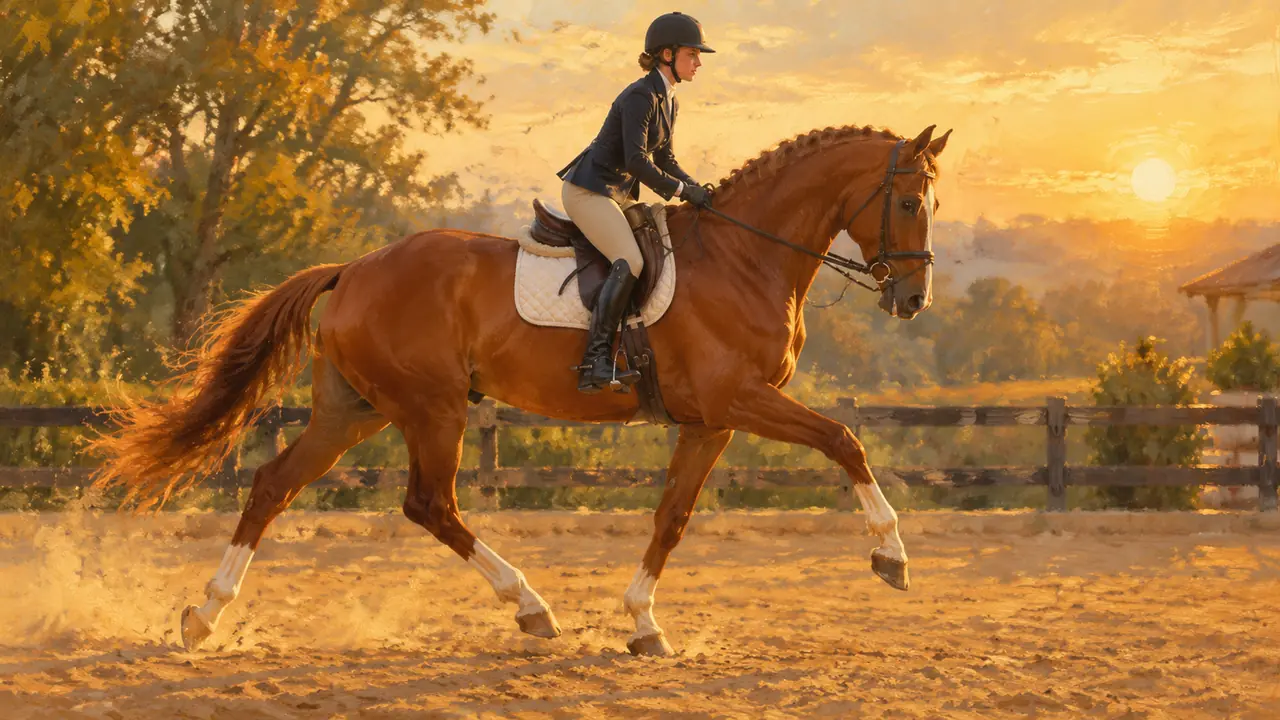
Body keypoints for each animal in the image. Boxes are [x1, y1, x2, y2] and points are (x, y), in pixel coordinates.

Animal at [91, 123, 951, 656]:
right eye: (910, 201)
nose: (913, 301)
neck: (745, 258)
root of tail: (355, 267)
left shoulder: (709, 421)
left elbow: (671, 519)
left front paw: (643, 626)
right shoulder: (738, 401)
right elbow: (845, 439)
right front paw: (893, 556)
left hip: (352, 409)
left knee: (274, 483)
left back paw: (203, 616)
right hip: (432, 407)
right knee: (429, 504)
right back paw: (531, 607)